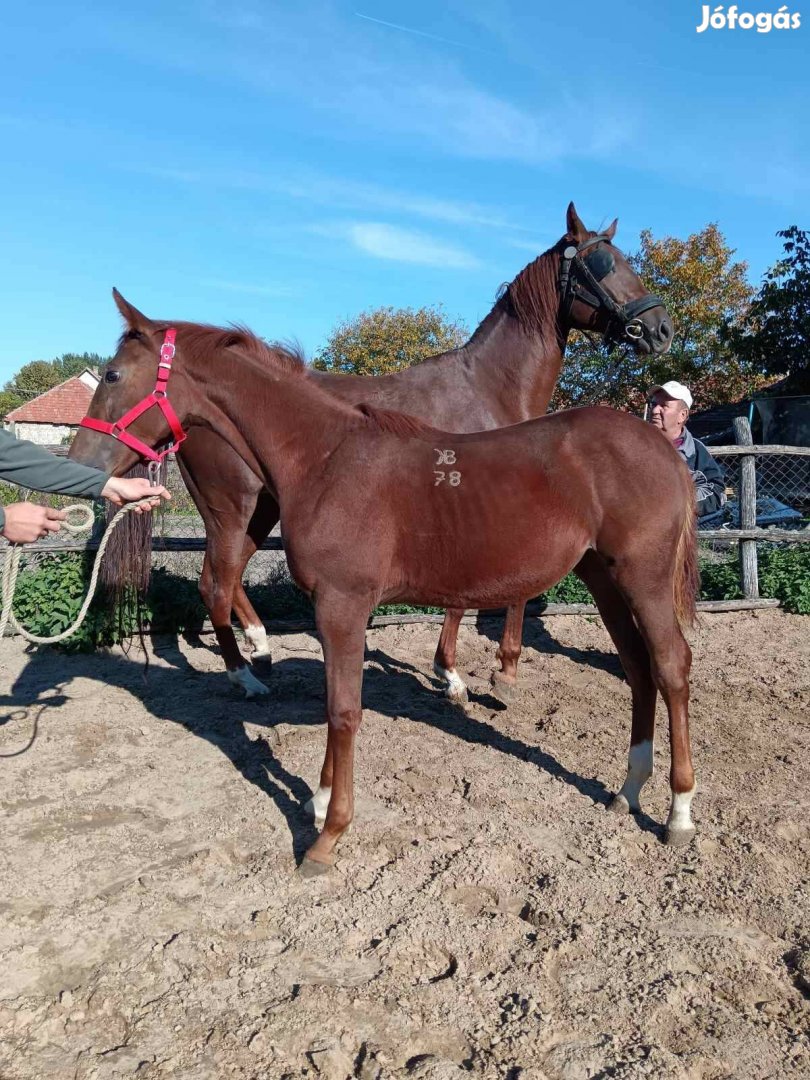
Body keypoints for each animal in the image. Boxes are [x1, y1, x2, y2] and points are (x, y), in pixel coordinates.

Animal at [71, 308, 704, 872]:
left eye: (113, 375)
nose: (81, 463)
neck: (324, 458)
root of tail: (662, 449)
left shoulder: (344, 605)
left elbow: (344, 710)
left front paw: (327, 837)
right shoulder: (330, 608)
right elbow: (335, 704)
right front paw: (321, 798)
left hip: (641, 577)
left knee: (671, 666)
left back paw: (678, 813)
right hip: (603, 577)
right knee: (639, 669)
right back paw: (628, 790)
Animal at [111, 204, 673, 699]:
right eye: (603, 264)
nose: (661, 329)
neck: (487, 387)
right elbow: (483, 598)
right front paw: (479, 675)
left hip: (258, 512)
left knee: (227, 582)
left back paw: (261, 647)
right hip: (235, 509)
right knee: (215, 584)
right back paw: (245, 676)